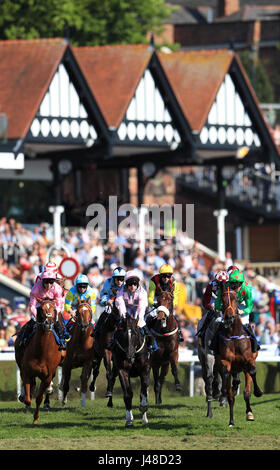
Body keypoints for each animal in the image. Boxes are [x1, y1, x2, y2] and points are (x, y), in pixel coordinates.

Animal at [218, 282, 264, 426]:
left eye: (236, 299)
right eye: (222, 300)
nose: (228, 317)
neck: (234, 335)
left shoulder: (249, 360)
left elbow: (253, 373)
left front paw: (258, 392)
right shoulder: (226, 362)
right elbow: (229, 388)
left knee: (246, 390)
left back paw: (249, 412)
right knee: (233, 391)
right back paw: (232, 420)